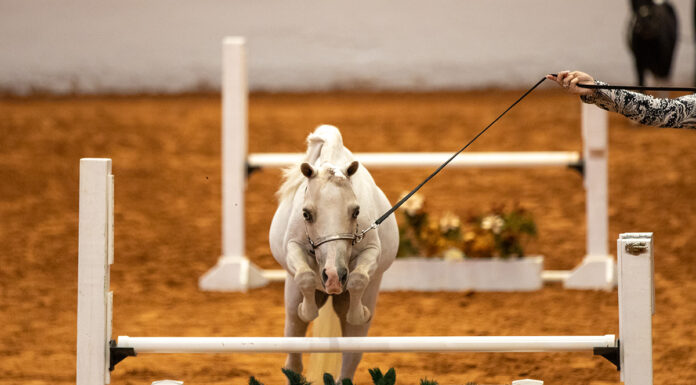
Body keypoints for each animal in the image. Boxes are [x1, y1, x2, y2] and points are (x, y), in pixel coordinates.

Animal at [270, 124, 396, 380]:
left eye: (356, 211)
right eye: (306, 213)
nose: (334, 277)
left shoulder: (372, 252)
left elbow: (358, 279)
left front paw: (359, 312)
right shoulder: (292, 248)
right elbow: (305, 277)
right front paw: (307, 309)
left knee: (350, 361)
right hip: (291, 304)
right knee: (293, 360)